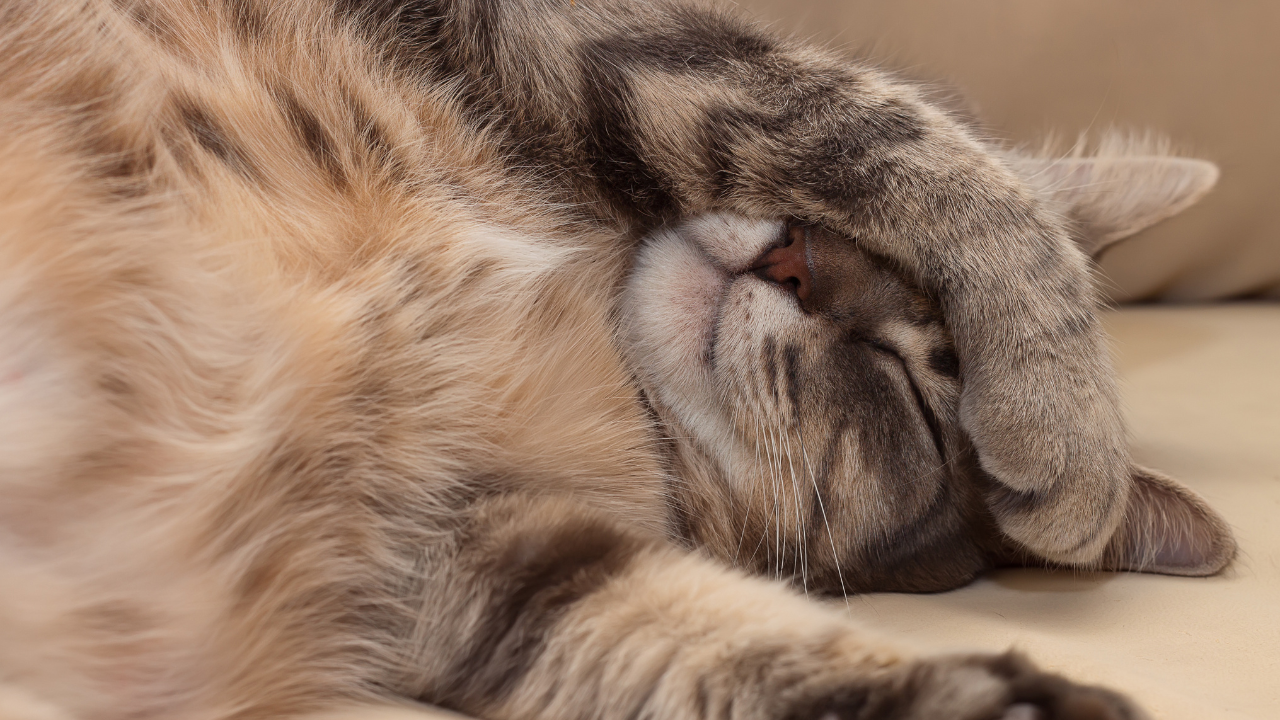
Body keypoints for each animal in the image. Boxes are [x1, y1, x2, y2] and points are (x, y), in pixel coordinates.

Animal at [0, 1, 1233, 717]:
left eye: (907, 390)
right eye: (856, 251)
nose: (794, 261)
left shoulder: (458, 547)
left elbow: (696, 639)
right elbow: (854, 116)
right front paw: (1064, 402)